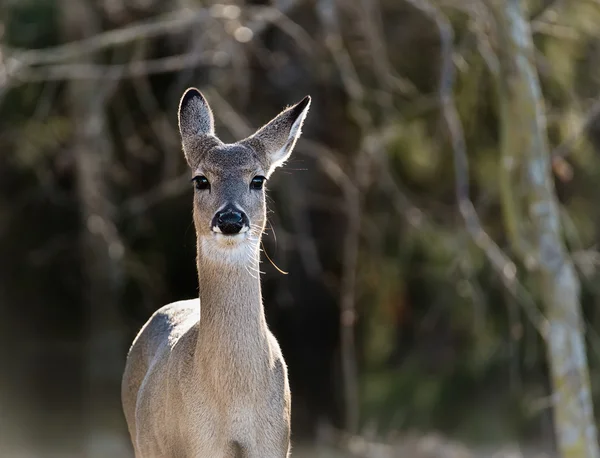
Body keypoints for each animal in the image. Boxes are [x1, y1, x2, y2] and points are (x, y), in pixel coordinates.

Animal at [120, 87, 312, 458]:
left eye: (257, 179)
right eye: (201, 180)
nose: (230, 219)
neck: (235, 400)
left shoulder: (274, 444)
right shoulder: (198, 445)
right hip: (144, 443)